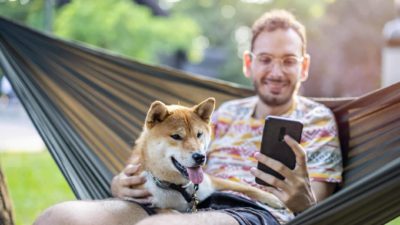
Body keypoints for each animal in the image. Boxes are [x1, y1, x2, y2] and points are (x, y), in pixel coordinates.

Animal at [130, 97, 282, 212]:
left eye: (199, 134)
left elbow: (244, 187)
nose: (200, 157)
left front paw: (273, 199)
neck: (181, 187)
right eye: (176, 136)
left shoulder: (212, 182)